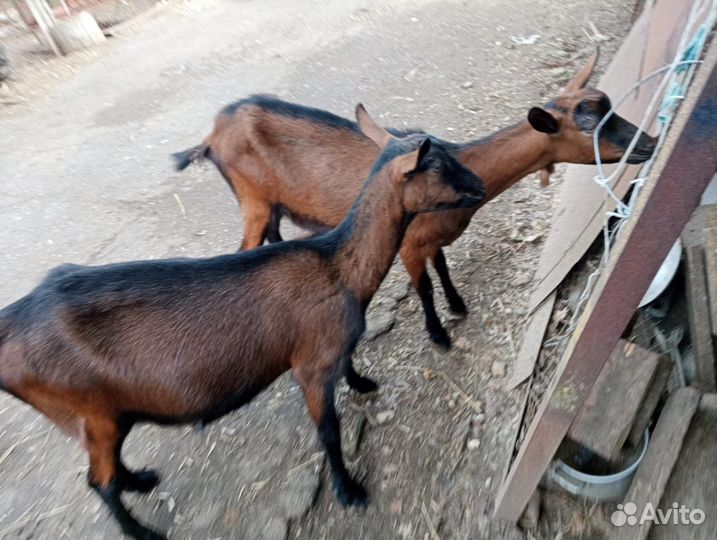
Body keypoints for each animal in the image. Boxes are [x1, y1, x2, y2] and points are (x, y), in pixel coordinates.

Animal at [0, 105, 484, 540]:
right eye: (439, 165)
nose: (479, 185)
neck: (337, 266)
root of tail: (12, 323)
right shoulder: (310, 365)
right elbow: (328, 433)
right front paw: (349, 491)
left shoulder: (324, 349)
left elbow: (347, 369)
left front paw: (362, 382)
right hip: (87, 411)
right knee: (98, 482)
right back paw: (144, 532)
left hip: (105, 414)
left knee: (108, 469)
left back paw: (140, 480)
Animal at [174, 50, 657, 349]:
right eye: (590, 125)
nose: (650, 143)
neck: (463, 163)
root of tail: (212, 135)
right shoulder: (408, 244)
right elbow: (423, 285)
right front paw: (439, 336)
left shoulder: (430, 236)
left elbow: (441, 266)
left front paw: (458, 306)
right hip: (252, 199)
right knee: (248, 245)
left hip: (272, 203)